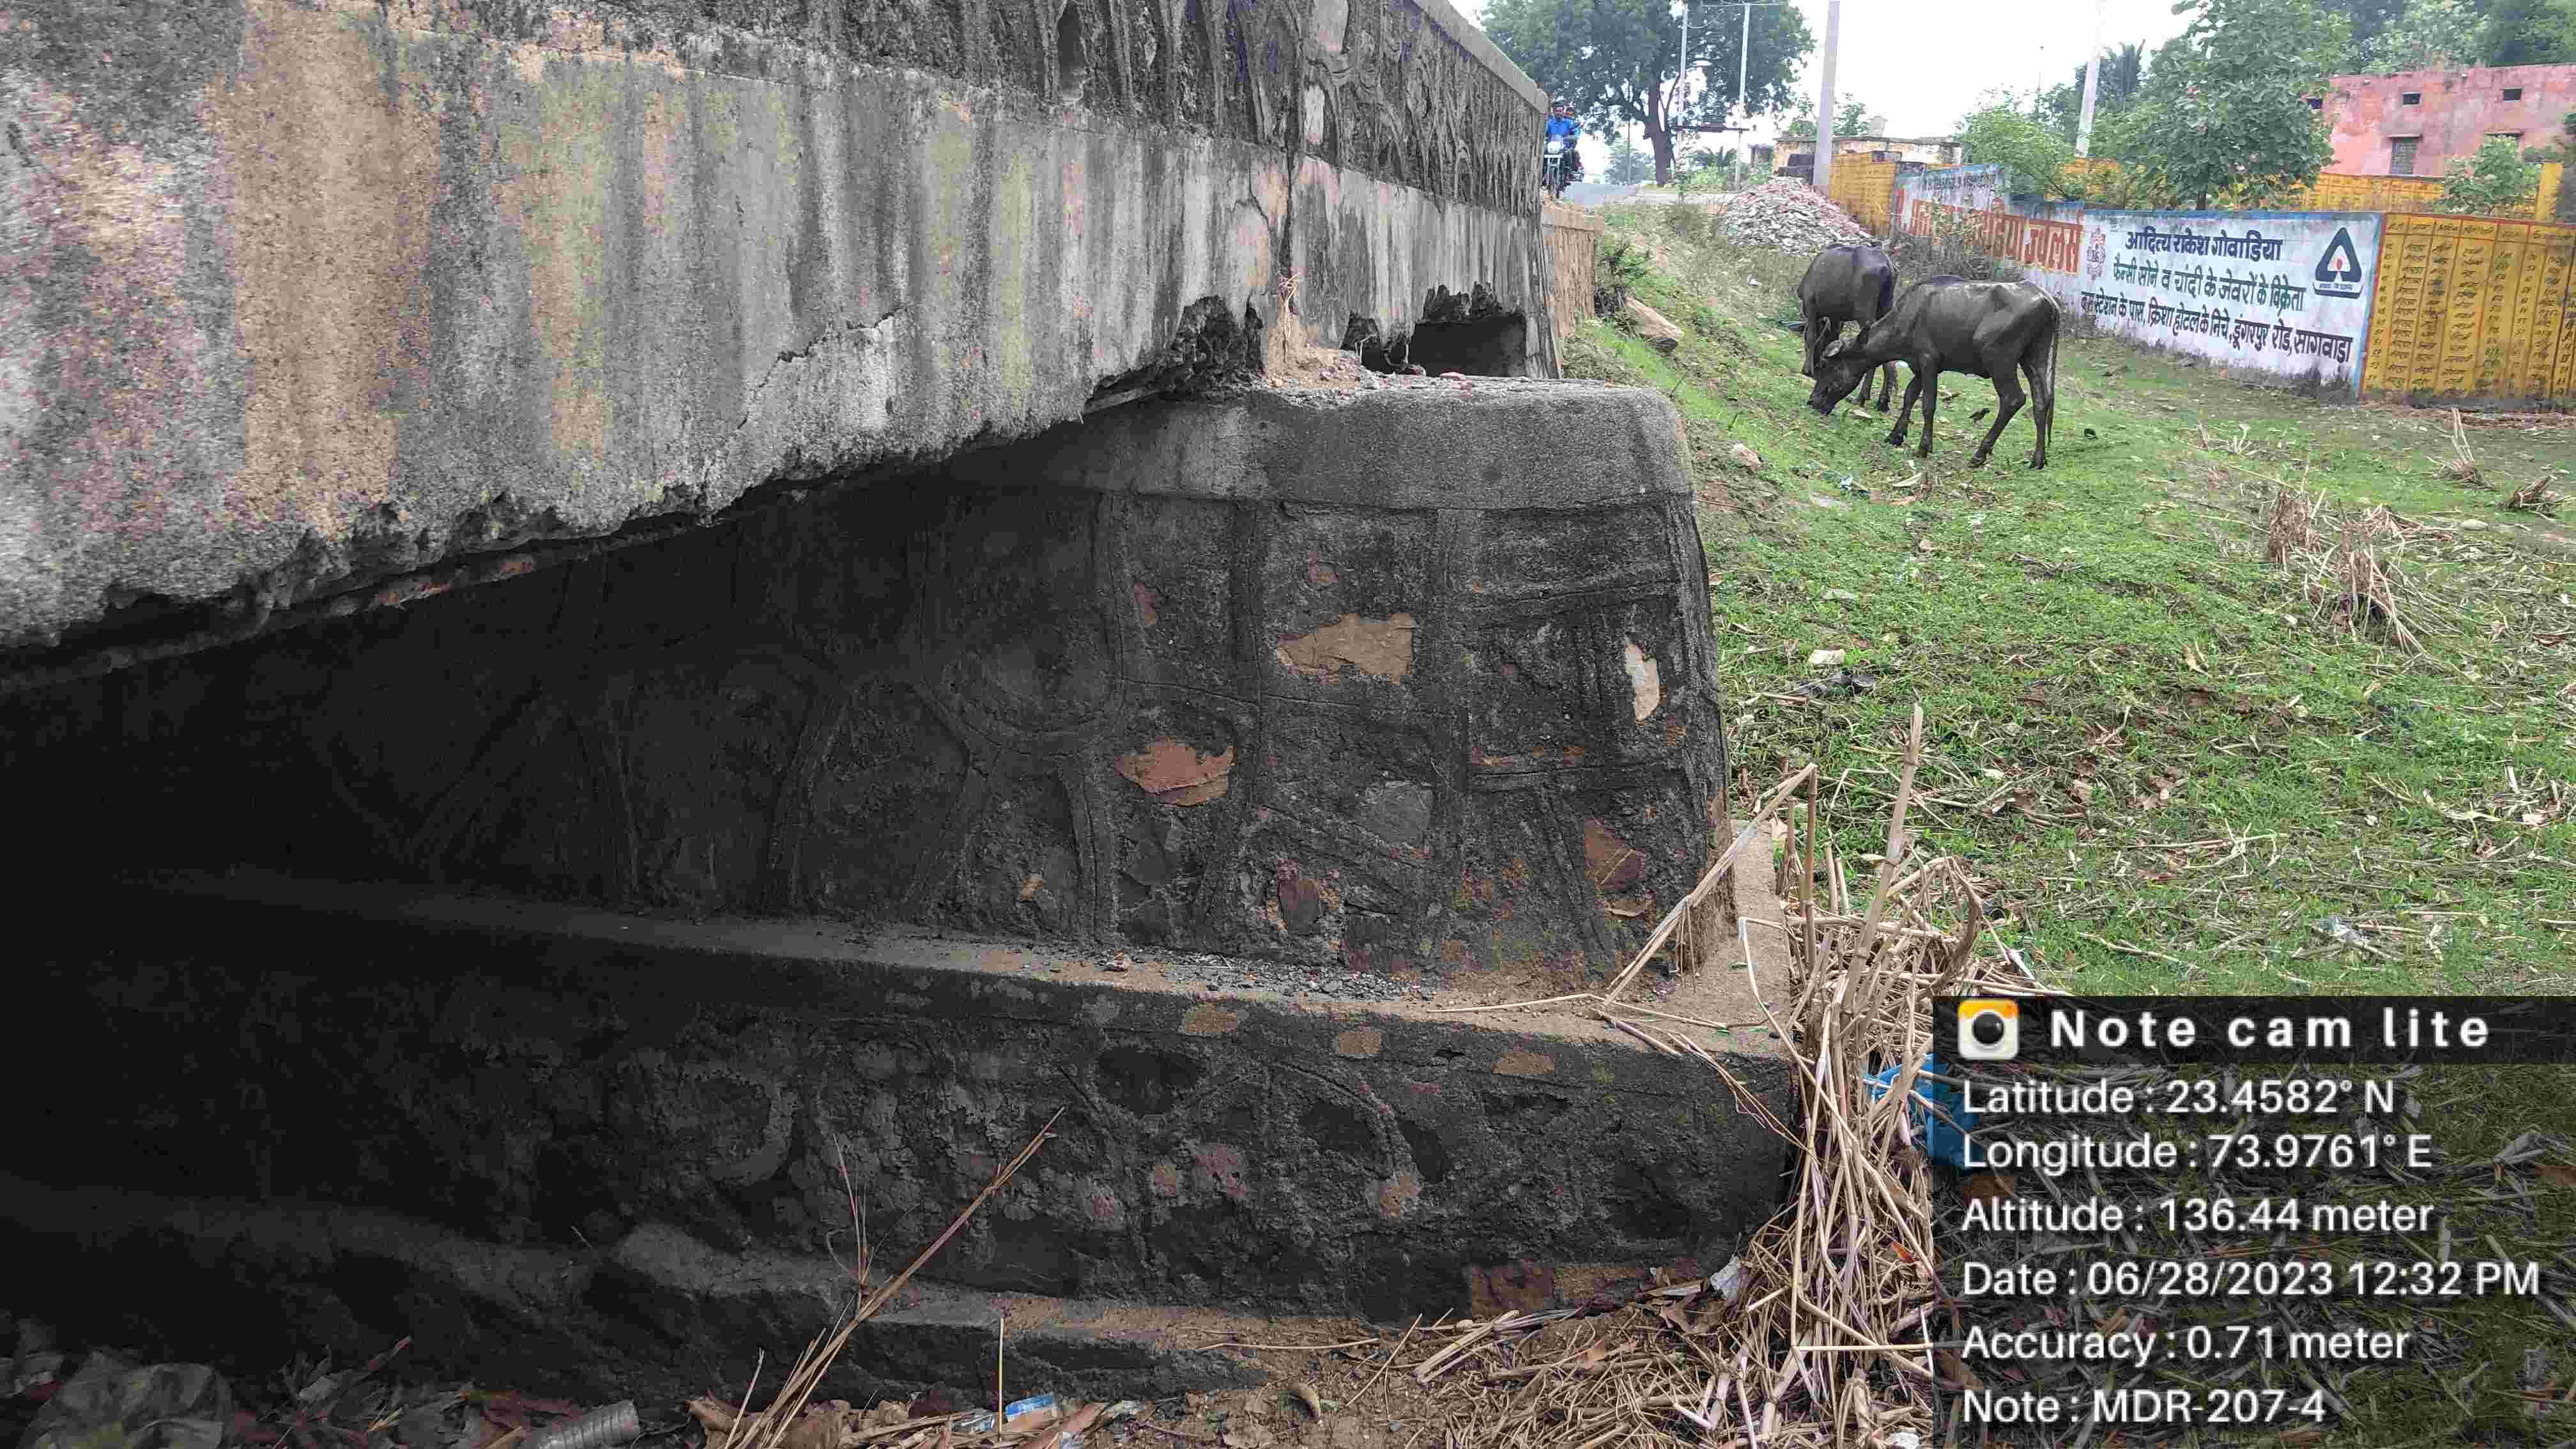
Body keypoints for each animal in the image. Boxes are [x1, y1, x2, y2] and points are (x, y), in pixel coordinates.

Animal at [1795, 244, 1900, 412]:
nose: (1817, 365)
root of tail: (1889, 266)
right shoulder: (1836, 317)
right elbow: (1833, 338)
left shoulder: (1811, 305)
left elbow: (1812, 337)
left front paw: (1808, 369)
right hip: (1886, 308)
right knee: (1889, 360)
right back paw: (1883, 402)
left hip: (1865, 313)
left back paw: (1862, 397)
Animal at [1806, 279, 2060, 471]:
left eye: (1827, 366)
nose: (1813, 401)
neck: (1909, 317)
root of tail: (2047, 300)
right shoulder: (1919, 366)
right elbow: (1909, 396)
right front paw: (1896, 435)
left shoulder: (1929, 362)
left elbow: (1928, 403)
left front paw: (1924, 446)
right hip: (2033, 359)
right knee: (2041, 402)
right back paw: (2038, 459)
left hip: (1999, 360)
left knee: (2013, 399)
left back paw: (1980, 454)